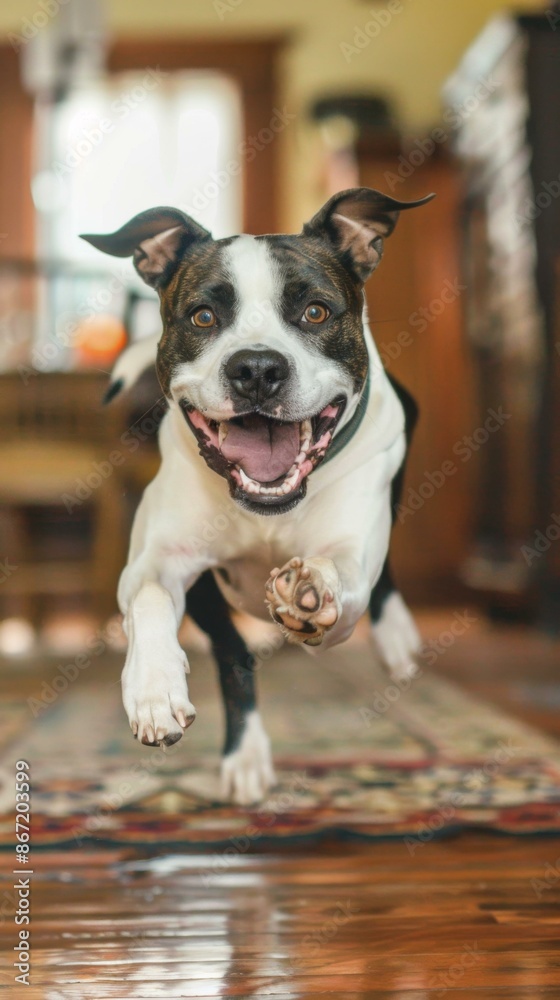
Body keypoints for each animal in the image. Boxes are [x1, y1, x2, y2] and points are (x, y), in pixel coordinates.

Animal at [82, 188, 434, 804]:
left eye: (315, 311)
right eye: (203, 316)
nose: (256, 368)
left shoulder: (353, 563)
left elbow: (344, 575)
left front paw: (308, 593)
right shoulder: (163, 561)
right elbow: (150, 597)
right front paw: (153, 690)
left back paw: (394, 637)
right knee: (234, 652)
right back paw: (244, 755)